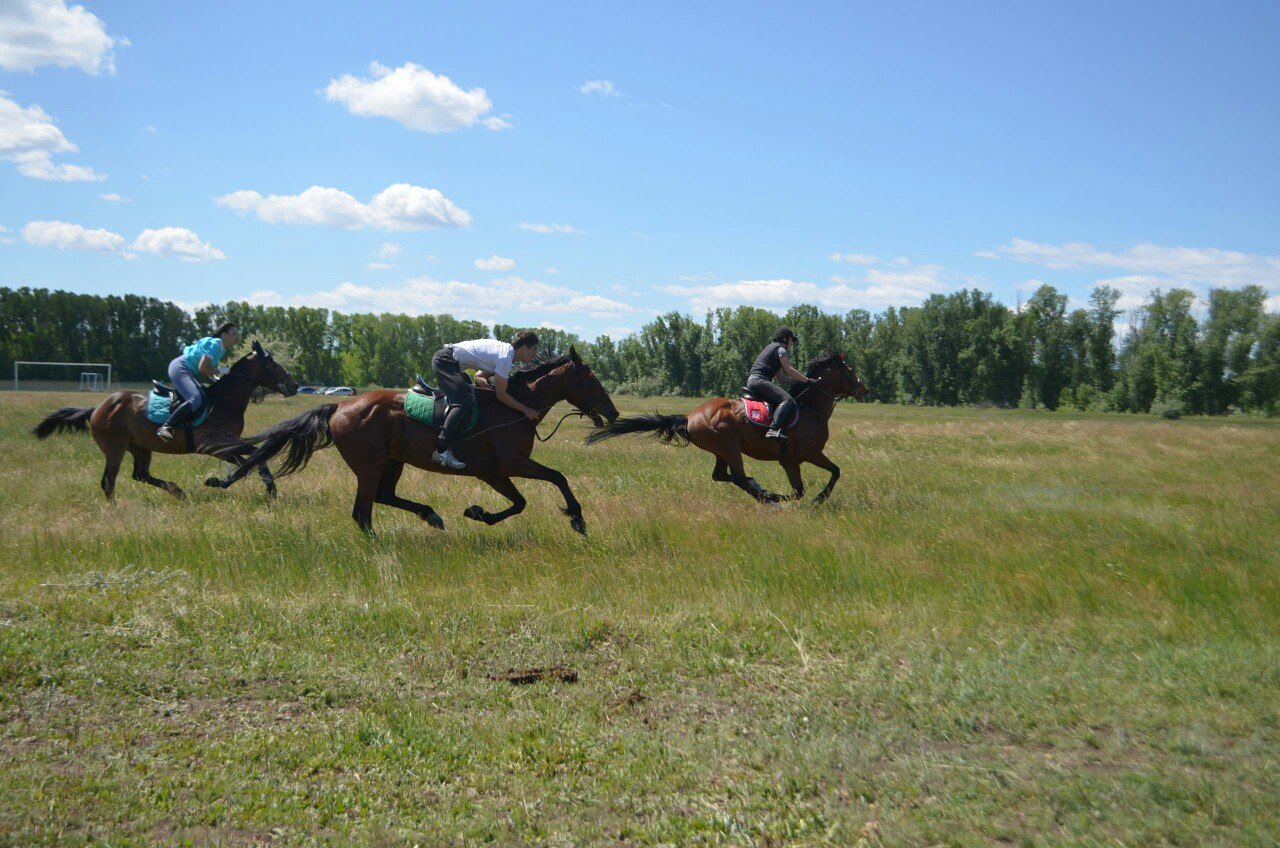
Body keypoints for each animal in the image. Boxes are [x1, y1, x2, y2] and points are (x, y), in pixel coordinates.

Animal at [33, 343, 298, 502]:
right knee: (109, 481)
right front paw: (219, 482)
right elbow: (249, 461)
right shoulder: (214, 447)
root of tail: (97, 408)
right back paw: (115, 510)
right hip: (115, 448)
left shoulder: (228, 444)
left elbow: (255, 457)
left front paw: (271, 491)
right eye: (274, 364)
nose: (294, 386)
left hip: (139, 447)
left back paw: (178, 491)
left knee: (140, 475)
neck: (224, 402)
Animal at [204, 348, 619, 535]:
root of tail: (341, 404)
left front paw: (478, 513)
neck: (513, 406)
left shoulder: (493, 472)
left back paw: (430, 515)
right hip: (370, 464)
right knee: (363, 510)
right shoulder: (507, 466)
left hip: (392, 461)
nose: (613, 413)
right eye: (592, 379)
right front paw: (577, 517)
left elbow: (521, 502)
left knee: (383, 497)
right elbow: (553, 480)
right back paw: (380, 541)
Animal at [588, 350, 870, 504]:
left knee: (723, 476)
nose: (864, 389)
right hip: (730, 446)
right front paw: (817, 500)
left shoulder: (793, 461)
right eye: (850, 369)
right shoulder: (806, 455)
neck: (810, 408)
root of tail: (690, 416)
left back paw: (761, 490)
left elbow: (804, 488)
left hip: (721, 450)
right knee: (737, 477)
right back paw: (767, 497)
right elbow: (830, 475)